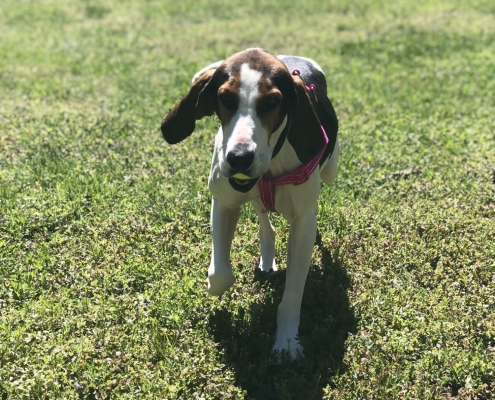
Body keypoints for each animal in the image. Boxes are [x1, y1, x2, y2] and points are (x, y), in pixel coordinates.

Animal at [161, 47, 340, 360]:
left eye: (272, 101)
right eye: (224, 98)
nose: (239, 158)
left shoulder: (303, 222)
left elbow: (293, 294)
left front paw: (287, 341)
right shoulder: (224, 202)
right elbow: (220, 273)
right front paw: (212, 289)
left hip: (330, 170)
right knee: (264, 220)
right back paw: (267, 257)